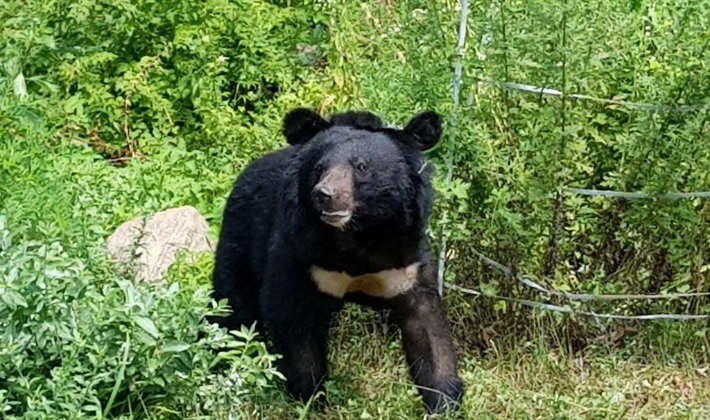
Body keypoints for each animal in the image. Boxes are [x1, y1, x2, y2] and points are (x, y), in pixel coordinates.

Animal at [210, 107, 468, 414]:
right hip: (240, 239)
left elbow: (427, 327)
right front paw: (311, 398)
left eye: (362, 167)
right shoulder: (301, 253)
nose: (325, 195)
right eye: (320, 168)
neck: (358, 235)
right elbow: (293, 319)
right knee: (233, 308)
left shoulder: (407, 260)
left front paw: (444, 401)